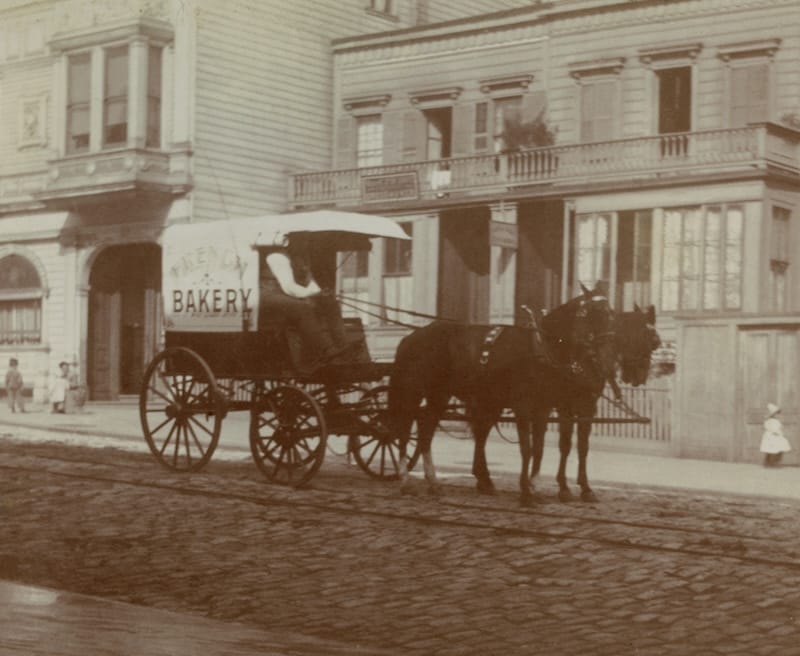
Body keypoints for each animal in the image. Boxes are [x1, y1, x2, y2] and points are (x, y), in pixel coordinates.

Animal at [390, 280, 620, 502]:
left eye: (611, 314)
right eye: (593, 314)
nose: (608, 358)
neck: (541, 348)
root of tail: (411, 337)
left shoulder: (546, 408)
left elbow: (543, 448)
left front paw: (537, 487)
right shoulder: (527, 407)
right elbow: (528, 448)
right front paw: (528, 492)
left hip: (441, 395)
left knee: (427, 430)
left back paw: (436, 482)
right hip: (413, 392)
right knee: (405, 429)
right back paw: (406, 481)